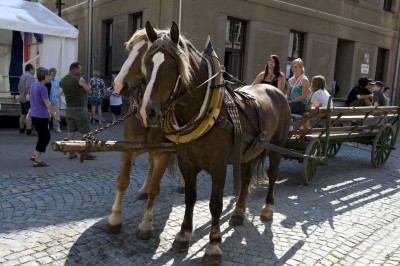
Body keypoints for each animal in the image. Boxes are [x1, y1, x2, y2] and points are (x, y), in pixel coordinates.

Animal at [106, 28, 181, 239]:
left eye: (146, 52)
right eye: (130, 49)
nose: (117, 85)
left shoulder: (163, 152)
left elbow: (156, 189)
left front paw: (146, 225)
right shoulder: (128, 149)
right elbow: (122, 181)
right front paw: (115, 218)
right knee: (150, 166)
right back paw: (144, 189)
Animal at [141, 22, 290, 264]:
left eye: (173, 66)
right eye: (146, 64)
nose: (148, 112)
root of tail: (274, 90)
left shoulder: (218, 167)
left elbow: (215, 205)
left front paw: (213, 246)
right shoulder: (187, 164)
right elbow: (190, 198)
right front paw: (183, 235)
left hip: (276, 146)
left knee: (273, 173)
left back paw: (268, 209)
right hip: (248, 151)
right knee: (246, 179)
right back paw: (238, 213)